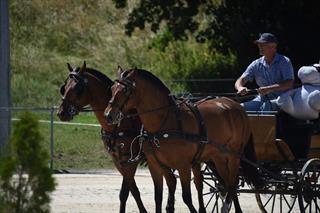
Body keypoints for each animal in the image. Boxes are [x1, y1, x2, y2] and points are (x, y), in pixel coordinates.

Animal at [57, 62, 178, 213]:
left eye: (78, 88)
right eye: (64, 87)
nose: (61, 112)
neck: (120, 123)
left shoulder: (129, 161)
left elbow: (124, 193)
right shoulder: (118, 161)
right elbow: (134, 190)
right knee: (171, 181)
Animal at [104, 68, 262, 213]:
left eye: (125, 90)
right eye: (112, 89)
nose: (108, 115)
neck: (164, 122)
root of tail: (236, 106)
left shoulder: (183, 166)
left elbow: (186, 197)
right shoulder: (156, 165)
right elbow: (158, 197)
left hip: (234, 155)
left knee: (232, 182)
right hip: (219, 157)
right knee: (229, 182)